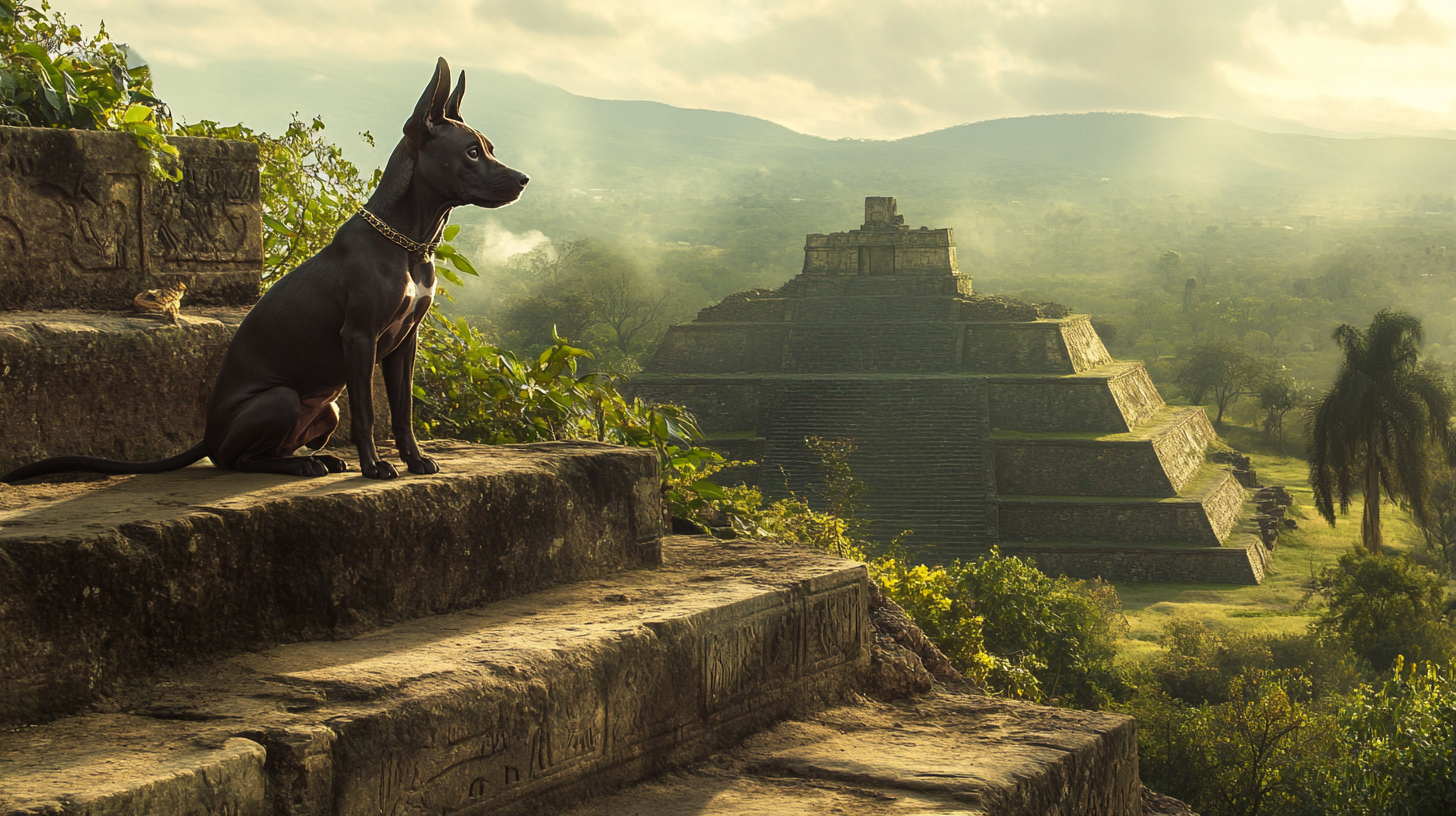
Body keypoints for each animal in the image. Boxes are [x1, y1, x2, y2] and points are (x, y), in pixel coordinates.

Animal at [4, 59, 529, 483]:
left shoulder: (404, 342)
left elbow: (402, 412)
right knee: (237, 460)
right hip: (280, 399)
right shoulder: (359, 337)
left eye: (489, 147)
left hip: (325, 409)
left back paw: (317, 459)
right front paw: (375, 467)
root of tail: (209, 434)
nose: (523, 180)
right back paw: (303, 465)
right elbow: (368, 414)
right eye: (472, 152)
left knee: (268, 450)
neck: (407, 244)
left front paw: (415, 461)